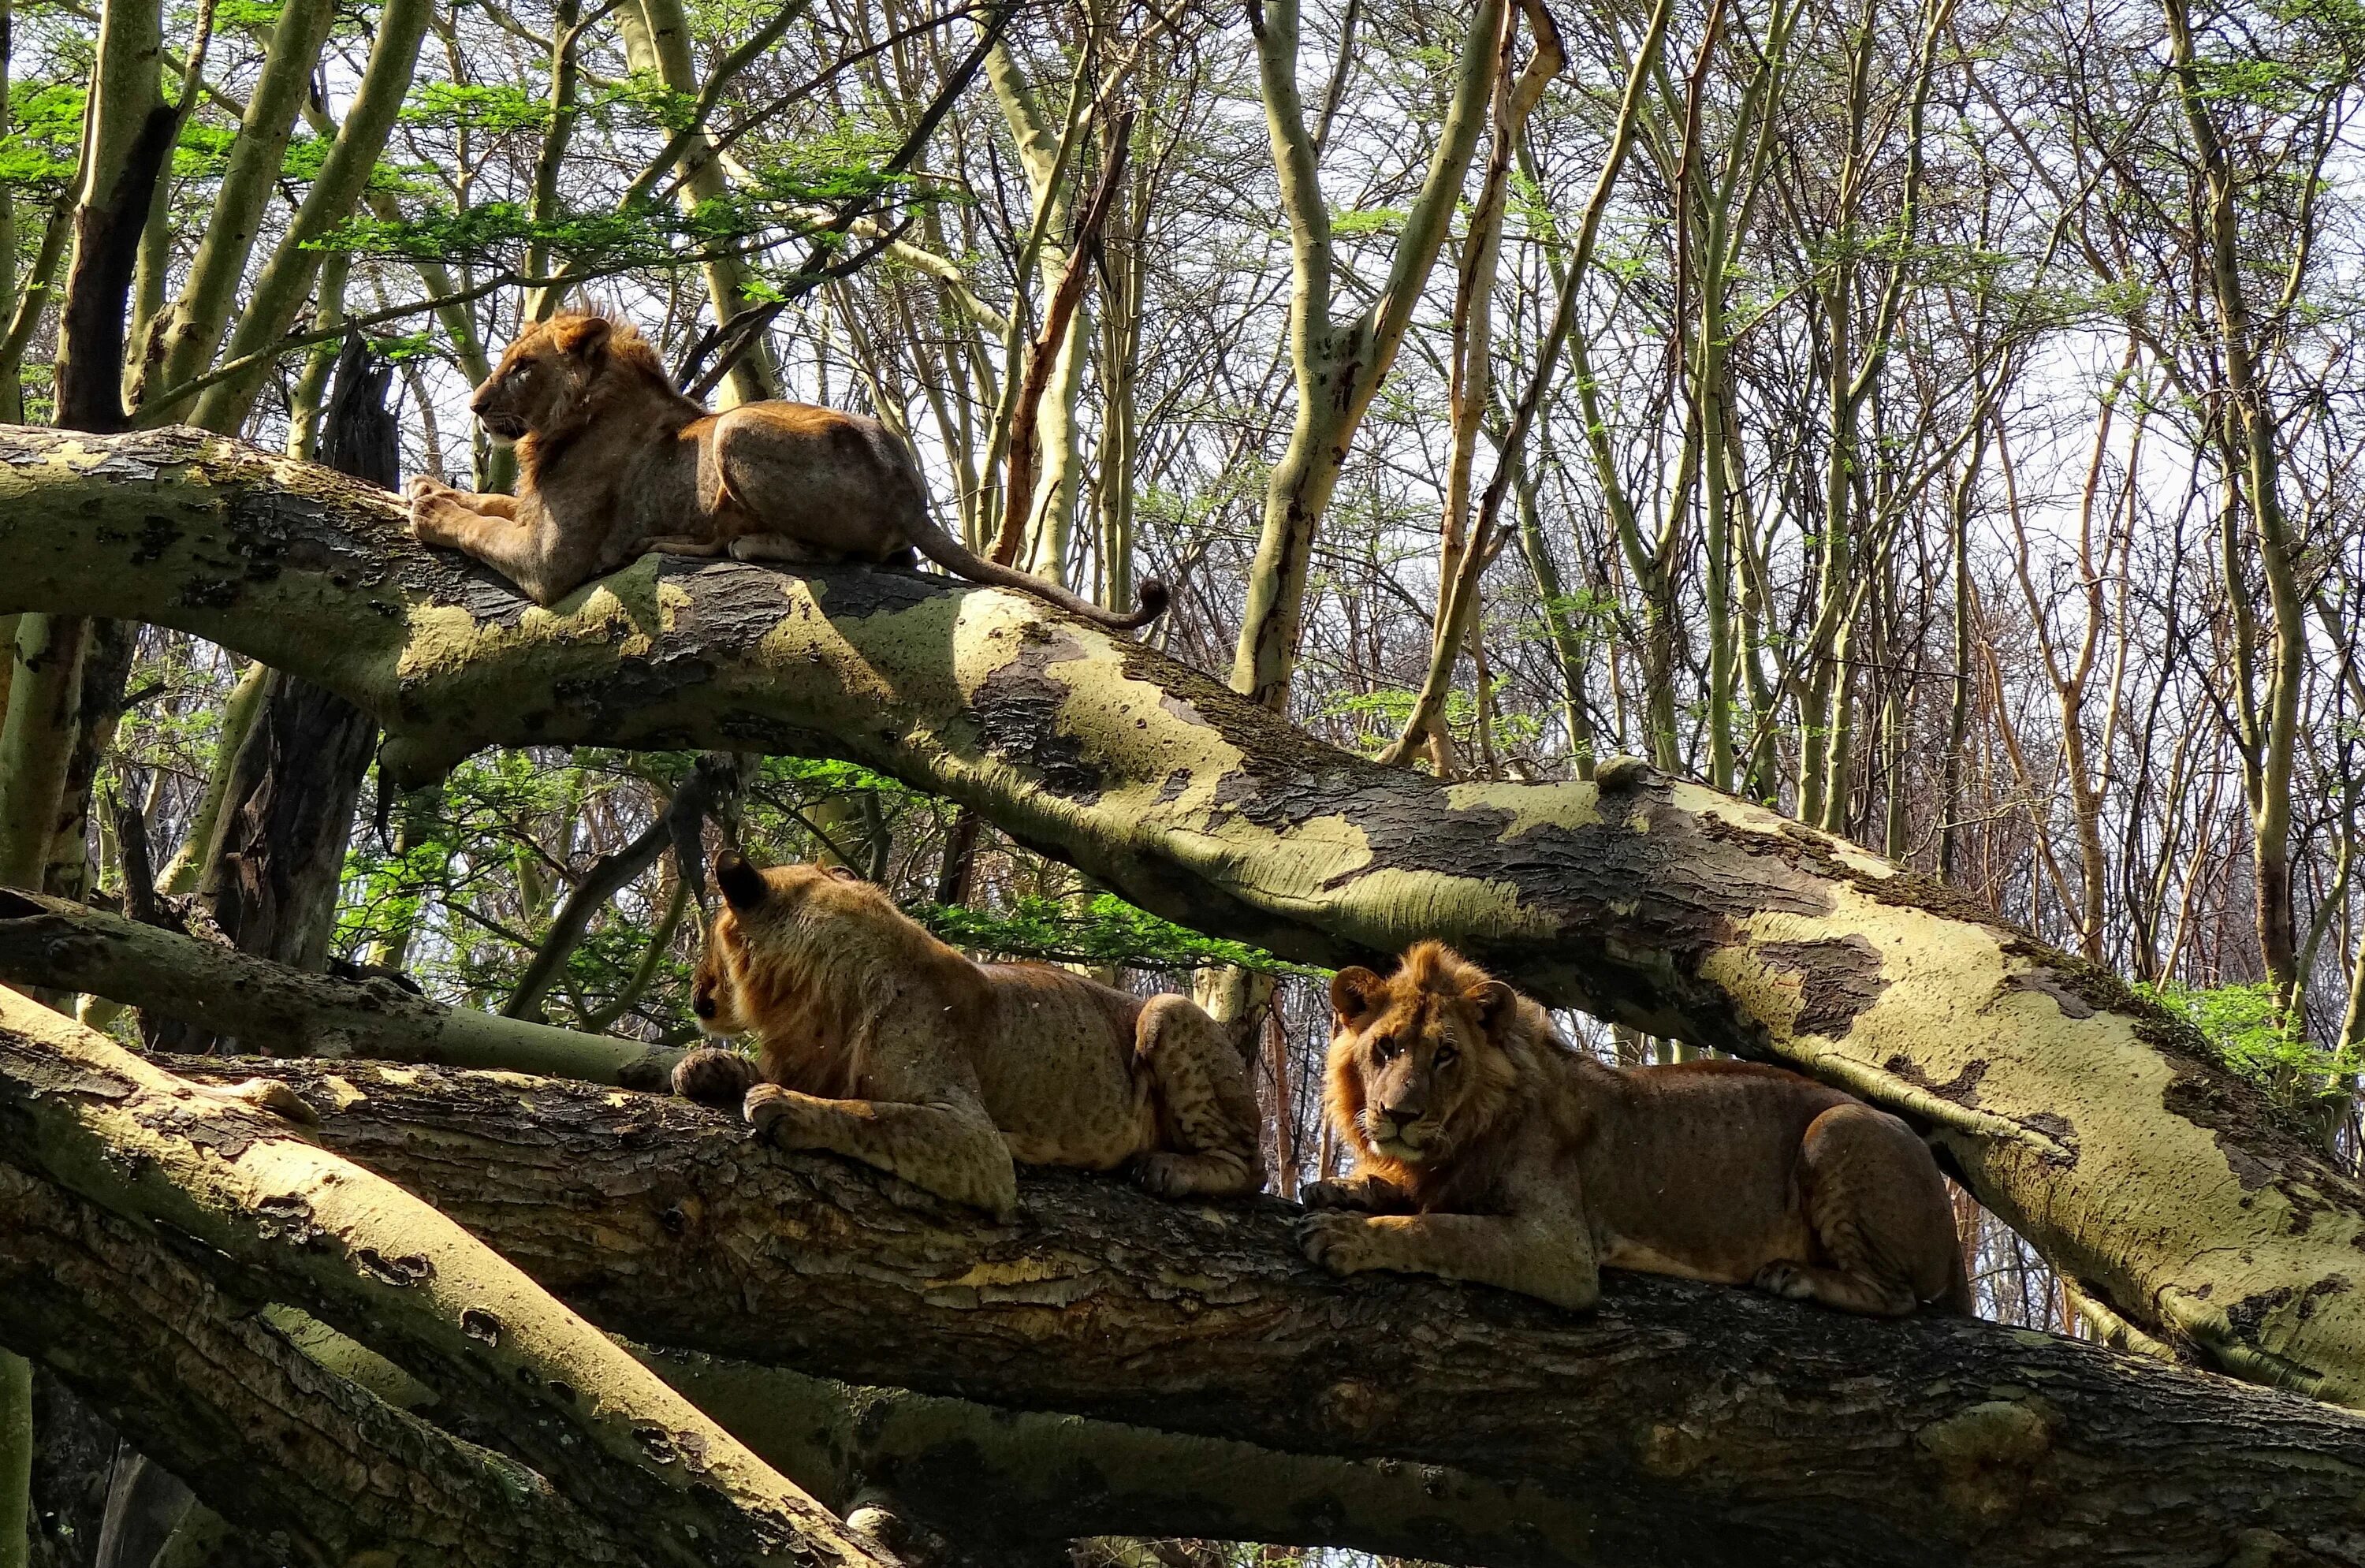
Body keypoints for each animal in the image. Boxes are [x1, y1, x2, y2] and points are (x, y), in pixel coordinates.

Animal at [419, 312, 1182, 634]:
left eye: (522, 366)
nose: (476, 404)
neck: (567, 421)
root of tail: (911, 492)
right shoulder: (531, 510)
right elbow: (489, 503)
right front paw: (430, 488)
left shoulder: (554, 560)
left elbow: (479, 529)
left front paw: (429, 510)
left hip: (737, 427)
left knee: (842, 553)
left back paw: (723, 542)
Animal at [667, 851, 1258, 1220]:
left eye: (710, 936)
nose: (696, 989)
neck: (811, 997)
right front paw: (706, 1066)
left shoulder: (979, 1144)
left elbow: (872, 1114)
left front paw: (784, 1104)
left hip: (1166, 1008)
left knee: (1249, 1170)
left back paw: (1168, 1168)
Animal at [1287, 946, 1968, 1315]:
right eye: (1386, 1047)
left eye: (1445, 1055)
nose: (1399, 1112)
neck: (1465, 1128)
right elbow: (1408, 1193)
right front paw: (1343, 1186)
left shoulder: (1561, 1250)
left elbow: (1440, 1232)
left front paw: (1349, 1235)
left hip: (1838, 1125)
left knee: (1898, 1297)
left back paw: (1794, 1276)